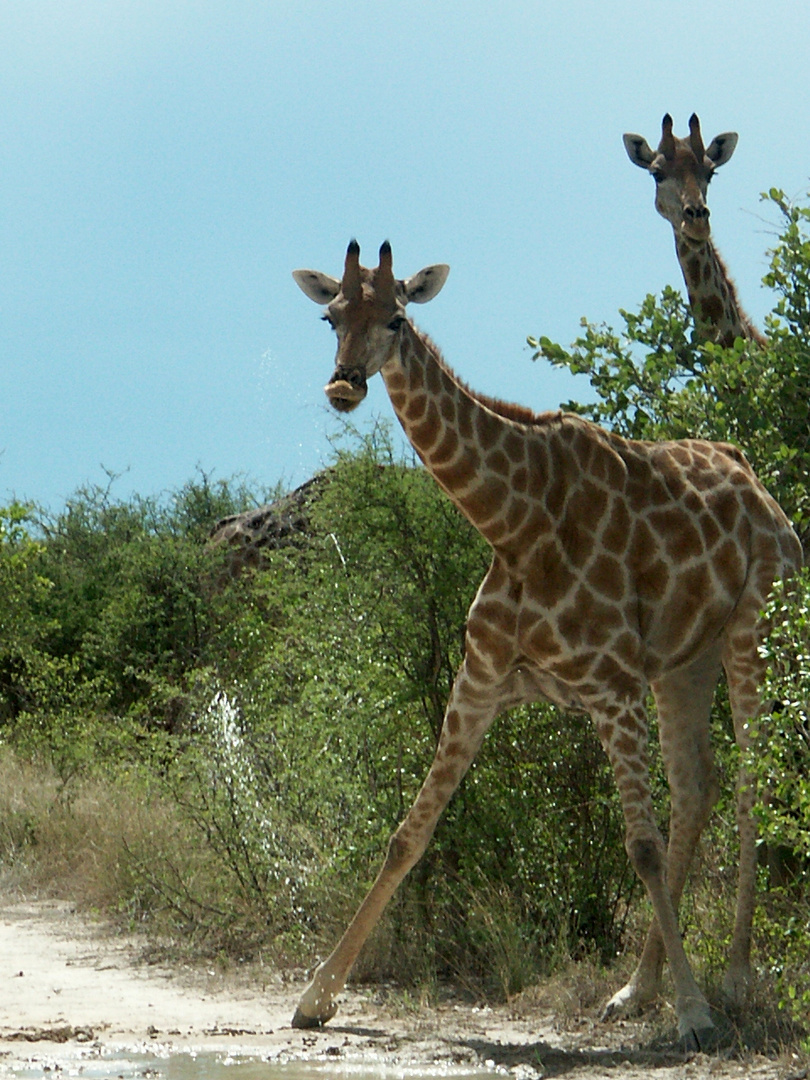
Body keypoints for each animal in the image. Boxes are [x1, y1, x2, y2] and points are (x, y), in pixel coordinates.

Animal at [289, 238, 803, 1045]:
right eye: (331, 315)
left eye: (397, 318)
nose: (344, 387)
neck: (513, 524)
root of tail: (758, 482)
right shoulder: (480, 682)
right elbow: (408, 833)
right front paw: (316, 996)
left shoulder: (612, 686)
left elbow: (640, 847)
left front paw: (695, 1013)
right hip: (682, 664)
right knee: (699, 786)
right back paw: (636, 990)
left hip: (757, 629)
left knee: (754, 784)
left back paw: (733, 980)